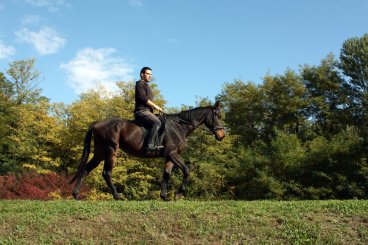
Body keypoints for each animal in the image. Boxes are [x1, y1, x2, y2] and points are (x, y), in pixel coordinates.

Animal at [69, 100, 224, 200]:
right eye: (217, 116)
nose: (222, 135)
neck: (179, 127)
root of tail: (97, 123)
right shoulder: (172, 154)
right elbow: (186, 171)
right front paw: (178, 194)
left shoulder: (170, 157)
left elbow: (166, 175)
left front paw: (164, 196)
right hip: (110, 150)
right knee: (106, 173)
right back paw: (117, 196)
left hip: (100, 152)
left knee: (86, 169)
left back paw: (76, 195)